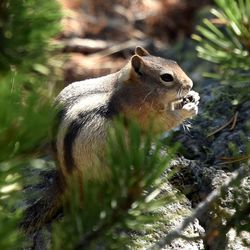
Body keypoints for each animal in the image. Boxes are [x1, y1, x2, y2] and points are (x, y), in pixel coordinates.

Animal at [23, 46, 199, 230]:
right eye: (166, 77)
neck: (132, 89)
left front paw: (193, 96)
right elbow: (163, 123)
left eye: (175, 62)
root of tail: (64, 181)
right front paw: (187, 109)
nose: (190, 84)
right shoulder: (141, 114)